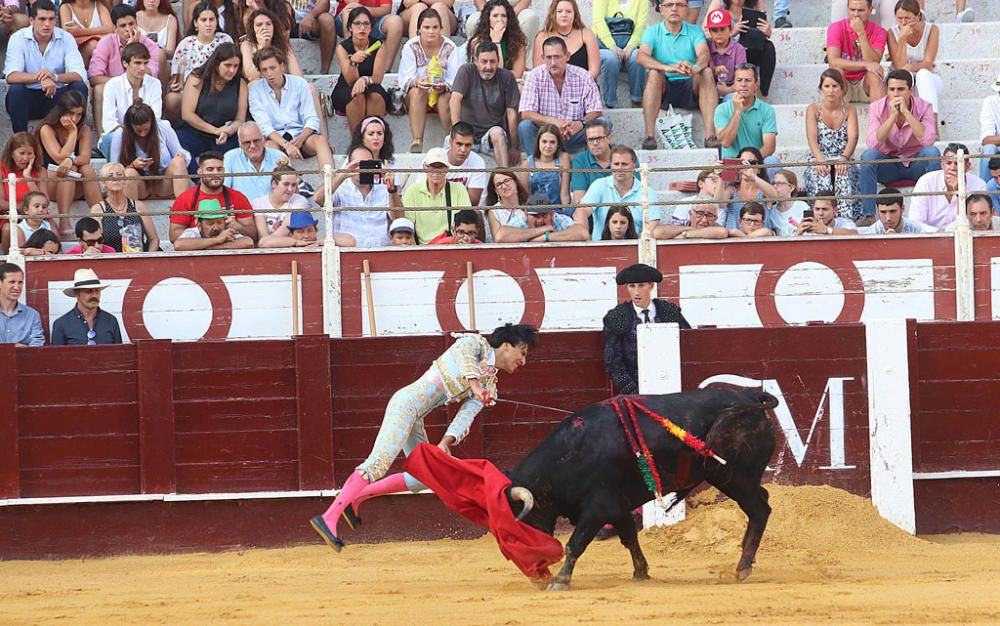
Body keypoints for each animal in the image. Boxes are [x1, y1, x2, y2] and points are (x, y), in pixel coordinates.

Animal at [504, 388, 776, 588]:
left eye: (523, 521)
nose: (536, 576)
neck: (572, 454)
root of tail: (750, 397)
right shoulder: (618, 506)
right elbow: (630, 539)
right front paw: (641, 572)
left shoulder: (598, 508)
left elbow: (575, 543)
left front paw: (560, 581)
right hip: (738, 479)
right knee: (760, 503)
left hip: (735, 477)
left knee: (759, 510)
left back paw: (743, 567)